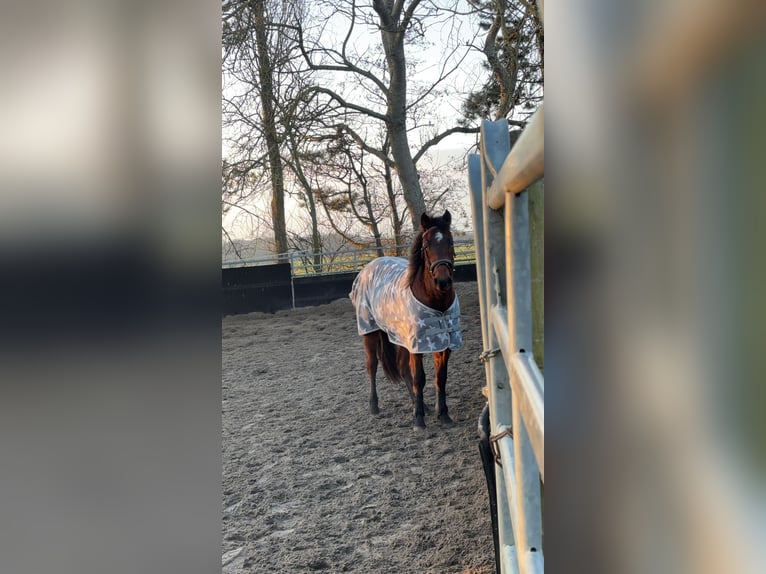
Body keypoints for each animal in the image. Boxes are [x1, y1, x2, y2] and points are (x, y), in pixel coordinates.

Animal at [352, 210, 464, 428]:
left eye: (451, 241)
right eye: (426, 245)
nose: (443, 281)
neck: (437, 303)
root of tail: (367, 268)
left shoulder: (443, 342)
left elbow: (440, 378)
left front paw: (443, 414)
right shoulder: (418, 345)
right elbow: (419, 378)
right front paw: (418, 420)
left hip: (400, 338)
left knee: (403, 369)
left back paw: (420, 406)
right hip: (370, 331)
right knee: (372, 366)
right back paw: (374, 406)